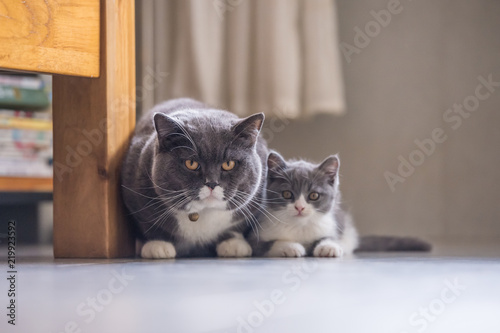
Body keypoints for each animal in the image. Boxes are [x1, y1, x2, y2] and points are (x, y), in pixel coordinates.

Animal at [121, 97, 268, 258]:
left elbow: (237, 226)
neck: (204, 212)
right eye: (191, 163)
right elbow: (149, 224)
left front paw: (234, 244)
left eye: (229, 164)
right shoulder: (135, 193)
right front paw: (158, 245)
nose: (212, 183)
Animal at [252, 150, 432, 256]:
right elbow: (269, 244)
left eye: (314, 195)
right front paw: (291, 247)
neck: (300, 226)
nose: (300, 207)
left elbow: (330, 237)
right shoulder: (257, 235)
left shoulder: (333, 224)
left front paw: (328, 247)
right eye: (287, 194)